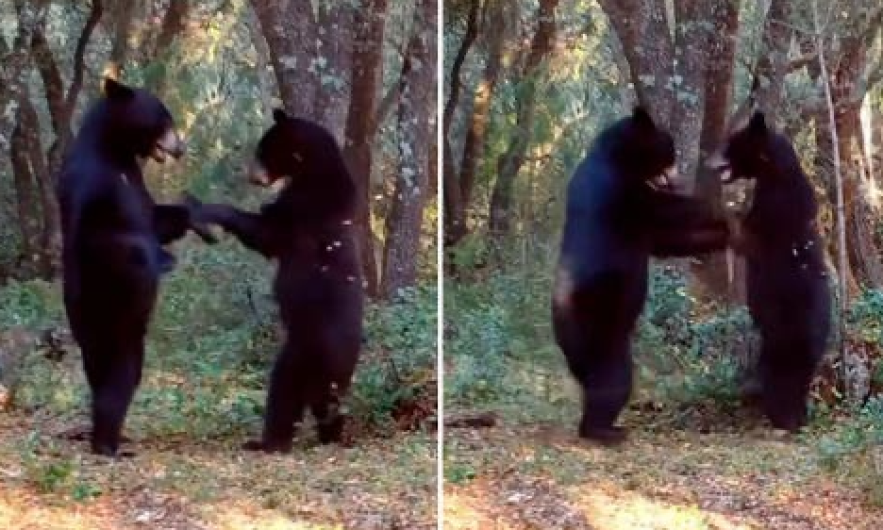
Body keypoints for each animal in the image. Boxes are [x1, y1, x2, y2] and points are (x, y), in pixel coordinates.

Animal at [56, 78, 214, 456]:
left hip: (89, 327)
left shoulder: (134, 177)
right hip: (114, 314)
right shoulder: (97, 186)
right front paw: (164, 260)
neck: (113, 147)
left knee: (100, 368)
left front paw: (198, 216)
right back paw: (109, 444)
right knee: (121, 371)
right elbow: (117, 235)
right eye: (164, 119)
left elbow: (154, 215)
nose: (180, 148)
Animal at [194, 109, 363, 453]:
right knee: (319, 403)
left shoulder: (303, 208)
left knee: (290, 394)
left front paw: (211, 209)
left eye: (262, 152)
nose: (250, 176)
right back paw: (320, 435)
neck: (315, 171)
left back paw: (276, 440)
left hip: (304, 350)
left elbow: (266, 232)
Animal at [552, 107, 733, 445]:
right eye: (669, 151)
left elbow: (667, 239)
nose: (676, 177)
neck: (615, 155)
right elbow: (667, 211)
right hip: (599, 323)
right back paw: (604, 429)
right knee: (613, 379)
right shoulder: (620, 192)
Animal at [708, 111, 831, 432]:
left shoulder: (774, 209)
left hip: (782, 337)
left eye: (731, 143)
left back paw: (780, 415)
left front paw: (727, 208)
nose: (708, 162)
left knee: (781, 379)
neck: (776, 174)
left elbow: (745, 236)